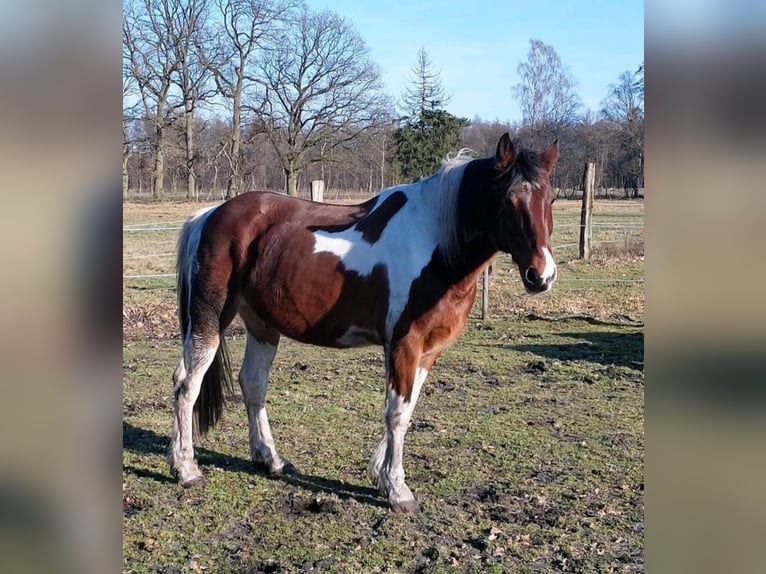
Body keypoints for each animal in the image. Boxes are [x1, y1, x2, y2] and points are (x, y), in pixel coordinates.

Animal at [171, 134, 560, 512]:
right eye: (509, 200)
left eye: (552, 198)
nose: (541, 276)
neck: (436, 243)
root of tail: (209, 216)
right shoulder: (404, 344)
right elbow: (397, 413)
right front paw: (398, 490)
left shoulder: (429, 351)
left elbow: (407, 407)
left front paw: (380, 473)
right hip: (210, 320)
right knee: (186, 384)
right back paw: (186, 469)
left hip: (263, 325)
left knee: (253, 384)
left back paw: (271, 460)